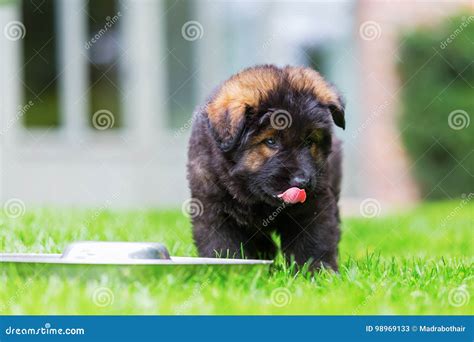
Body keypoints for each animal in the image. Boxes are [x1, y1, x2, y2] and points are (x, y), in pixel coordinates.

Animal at [187, 65, 346, 272]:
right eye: (271, 141)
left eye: (309, 141)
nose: (302, 182)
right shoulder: (213, 207)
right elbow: (223, 245)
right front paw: (230, 271)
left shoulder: (313, 203)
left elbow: (313, 241)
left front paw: (316, 272)